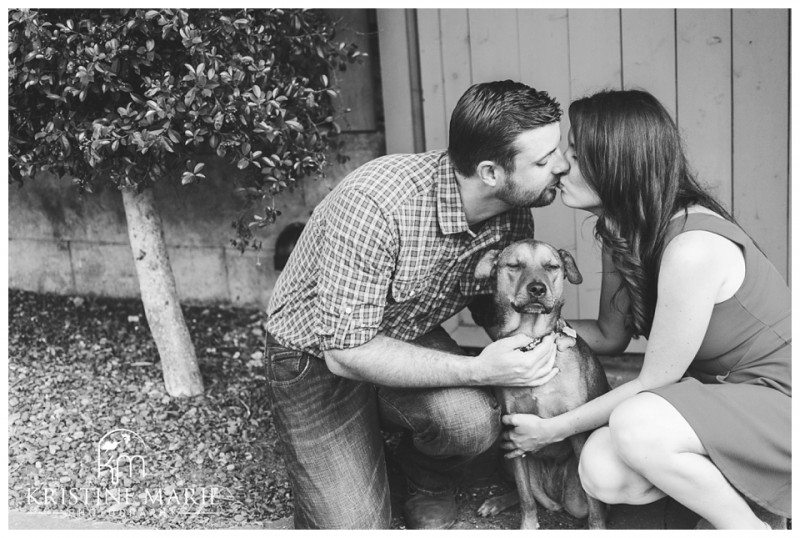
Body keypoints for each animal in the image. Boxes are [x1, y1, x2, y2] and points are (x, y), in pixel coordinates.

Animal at [472, 239, 608, 528]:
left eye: (552, 266)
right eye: (514, 265)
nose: (537, 289)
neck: (532, 340)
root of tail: (552, 493)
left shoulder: (578, 432)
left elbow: (594, 504)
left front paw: (598, 526)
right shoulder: (514, 434)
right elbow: (525, 497)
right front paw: (528, 525)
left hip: (573, 497)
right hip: (506, 456)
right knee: (526, 491)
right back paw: (496, 501)